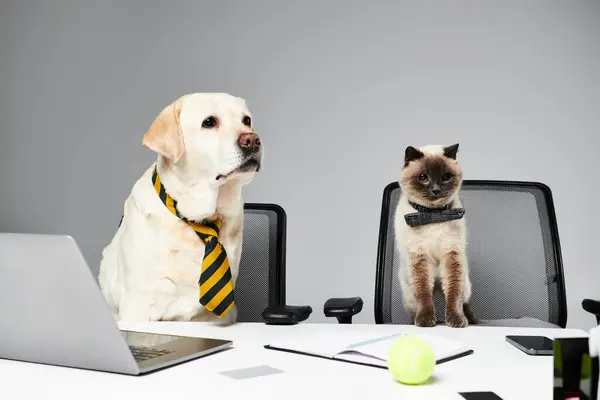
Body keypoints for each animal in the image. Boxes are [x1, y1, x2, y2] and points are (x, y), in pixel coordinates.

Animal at [98, 94, 262, 324]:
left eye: (246, 120)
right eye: (209, 122)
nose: (253, 140)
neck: (198, 221)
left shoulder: (217, 316)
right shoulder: (138, 304)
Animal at [394, 144, 478, 328]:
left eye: (446, 176)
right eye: (423, 177)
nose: (436, 190)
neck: (433, 215)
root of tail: (438, 286)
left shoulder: (451, 256)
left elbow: (453, 294)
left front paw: (455, 320)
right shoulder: (419, 258)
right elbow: (423, 293)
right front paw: (425, 321)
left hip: (464, 282)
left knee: (464, 302)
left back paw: (470, 320)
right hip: (409, 292)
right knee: (416, 306)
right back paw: (414, 321)